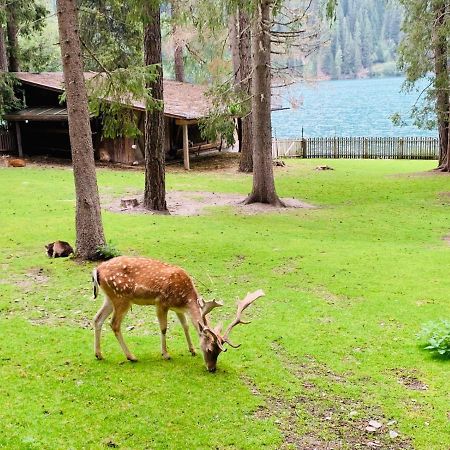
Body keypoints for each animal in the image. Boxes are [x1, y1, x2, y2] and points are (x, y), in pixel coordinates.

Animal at [92, 255, 264, 370]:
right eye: (210, 349)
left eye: (219, 353)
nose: (212, 369)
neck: (185, 299)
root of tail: (96, 270)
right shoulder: (161, 303)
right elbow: (163, 328)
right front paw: (166, 354)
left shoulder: (178, 309)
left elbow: (185, 326)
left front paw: (192, 350)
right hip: (121, 298)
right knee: (114, 324)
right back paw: (131, 356)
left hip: (109, 298)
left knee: (97, 319)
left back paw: (99, 354)